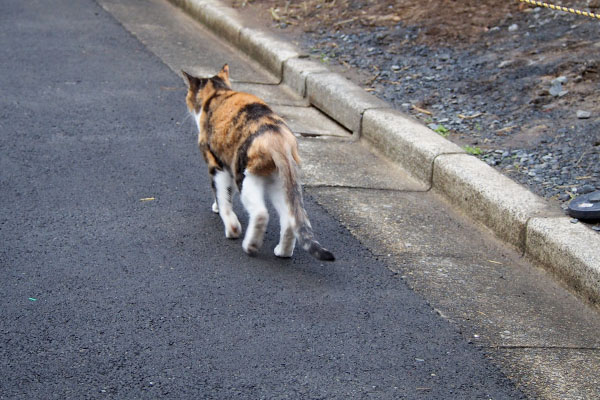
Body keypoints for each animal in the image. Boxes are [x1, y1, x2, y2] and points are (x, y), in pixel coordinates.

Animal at [180, 64, 336, 260]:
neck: (218, 93)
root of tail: (279, 139)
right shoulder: (228, 165)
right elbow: (226, 194)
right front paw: (217, 207)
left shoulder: (217, 164)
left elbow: (222, 196)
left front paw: (231, 227)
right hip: (279, 184)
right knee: (289, 220)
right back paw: (282, 252)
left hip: (246, 178)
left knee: (261, 213)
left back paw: (250, 246)